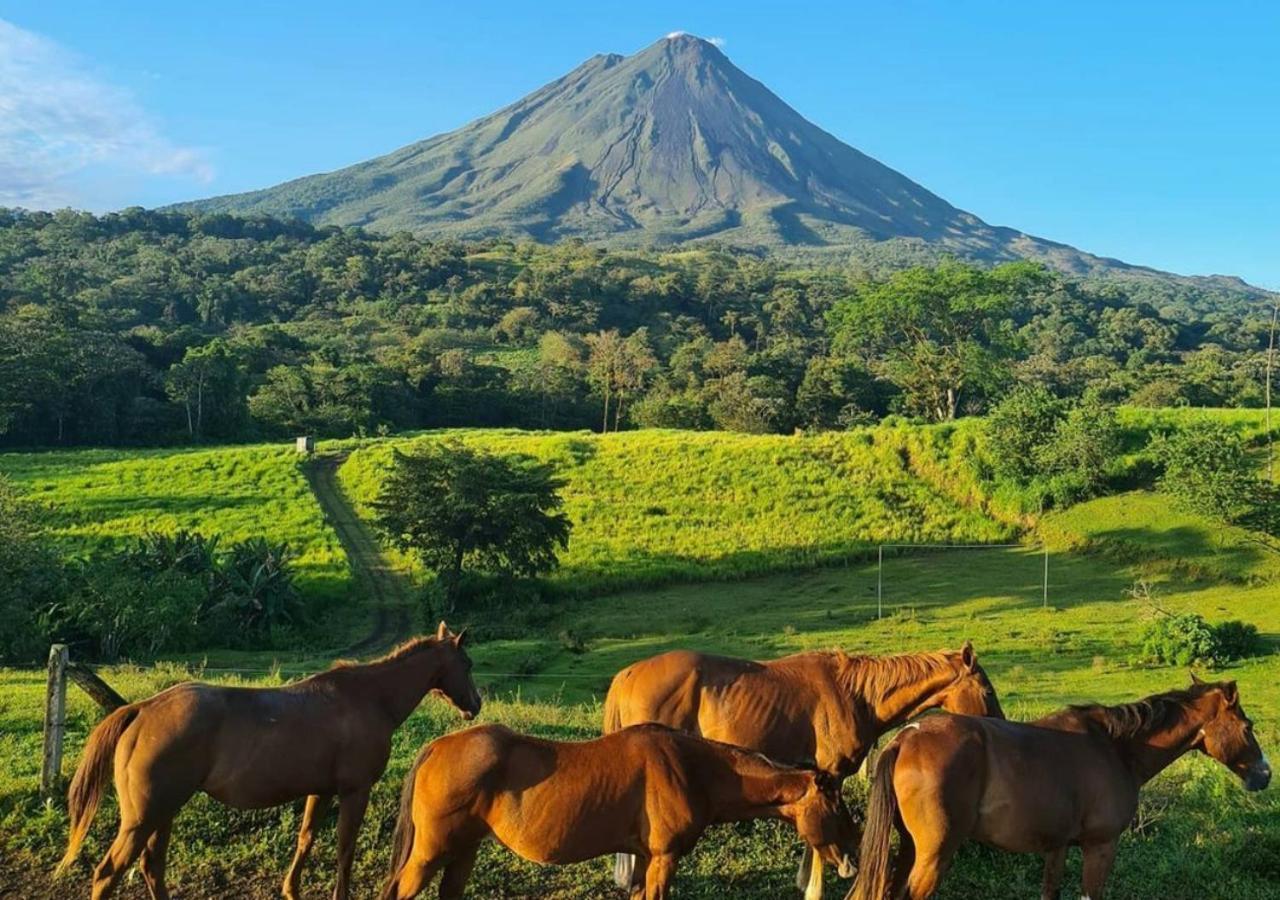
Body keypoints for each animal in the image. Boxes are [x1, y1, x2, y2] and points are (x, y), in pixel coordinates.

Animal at [53, 622, 483, 900]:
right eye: (468, 664)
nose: (475, 705)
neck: (367, 699)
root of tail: (143, 710)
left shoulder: (320, 792)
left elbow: (306, 839)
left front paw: (291, 889)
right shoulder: (354, 792)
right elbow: (345, 849)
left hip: (163, 812)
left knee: (151, 868)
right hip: (144, 817)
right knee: (109, 873)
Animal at [378, 727, 860, 900]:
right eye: (836, 805)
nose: (852, 858)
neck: (692, 768)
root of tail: (437, 747)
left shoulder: (645, 859)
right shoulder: (664, 860)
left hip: (463, 851)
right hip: (431, 852)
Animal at [604, 645, 1003, 896]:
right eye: (986, 691)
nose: (1001, 726)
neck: (855, 695)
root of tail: (626, 676)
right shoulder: (828, 776)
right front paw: (817, 883)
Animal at [849, 675, 1269, 900]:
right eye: (1247, 727)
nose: (1264, 774)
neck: (1114, 747)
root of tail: (908, 736)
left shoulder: (1057, 848)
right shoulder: (1100, 847)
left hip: (908, 849)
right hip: (933, 855)